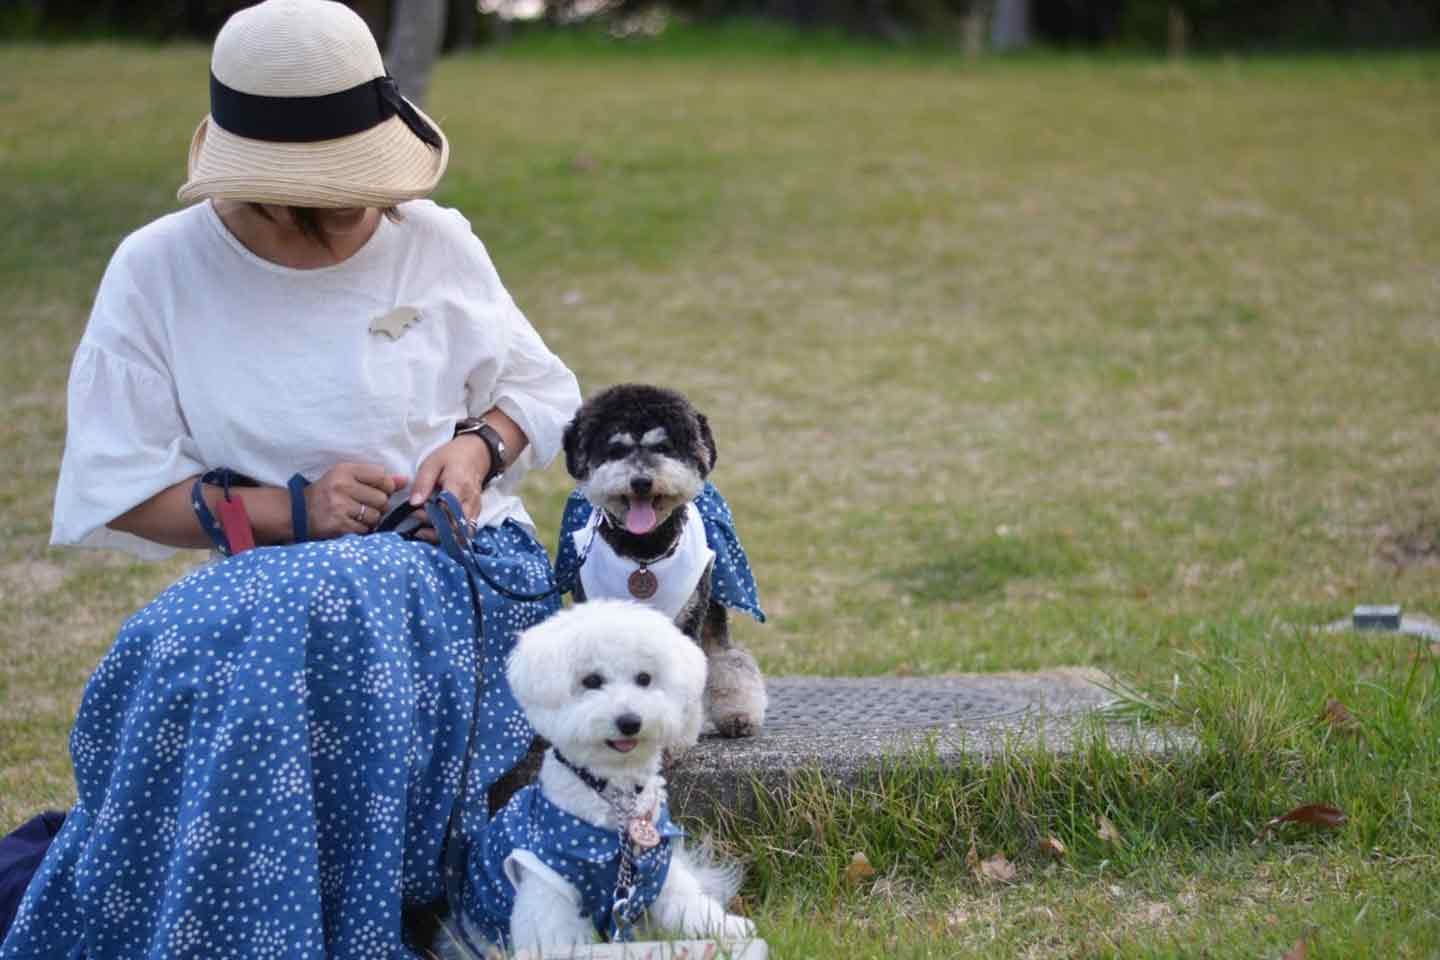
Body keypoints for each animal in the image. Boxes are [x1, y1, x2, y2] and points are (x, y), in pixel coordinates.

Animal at [440, 601, 760, 955]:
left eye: (644, 679)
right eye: (591, 680)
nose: (629, 721)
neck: (615, 795)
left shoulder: (655, 866)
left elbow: (686, 901)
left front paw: (725, 928)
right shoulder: (547, 879)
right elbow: (551, 934)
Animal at [558, 385, 771, 742]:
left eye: (663, 447)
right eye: (616, 449)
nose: (641, 481)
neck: (644, 552)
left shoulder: (689, 615)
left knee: (725, 654)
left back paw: (738, 713)